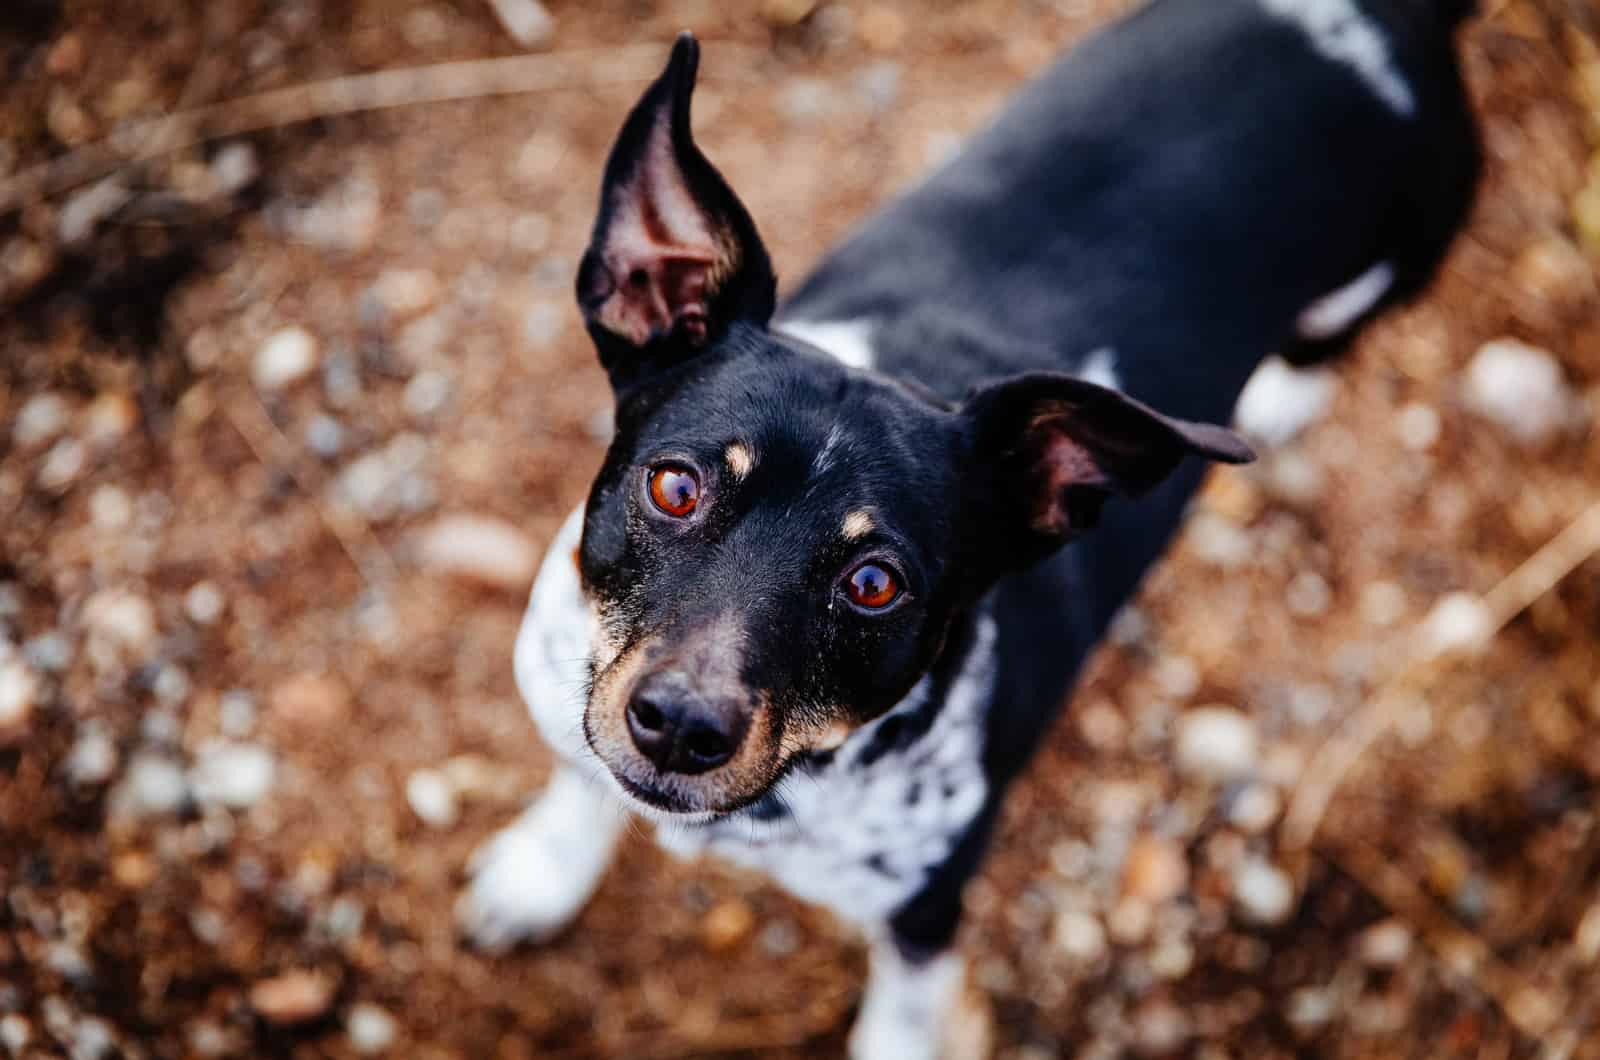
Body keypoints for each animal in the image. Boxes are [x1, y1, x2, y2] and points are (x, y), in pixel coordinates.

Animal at [457, 2, 1478, 1056]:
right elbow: (579, 778)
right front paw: (545, 870)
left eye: (874, 583)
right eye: (673, 487)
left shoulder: (928, 910)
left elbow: (903, 1014)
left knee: (1330, 340)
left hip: (1394, 261)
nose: (682, 727)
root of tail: (1392, 19)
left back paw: (1280, 398)